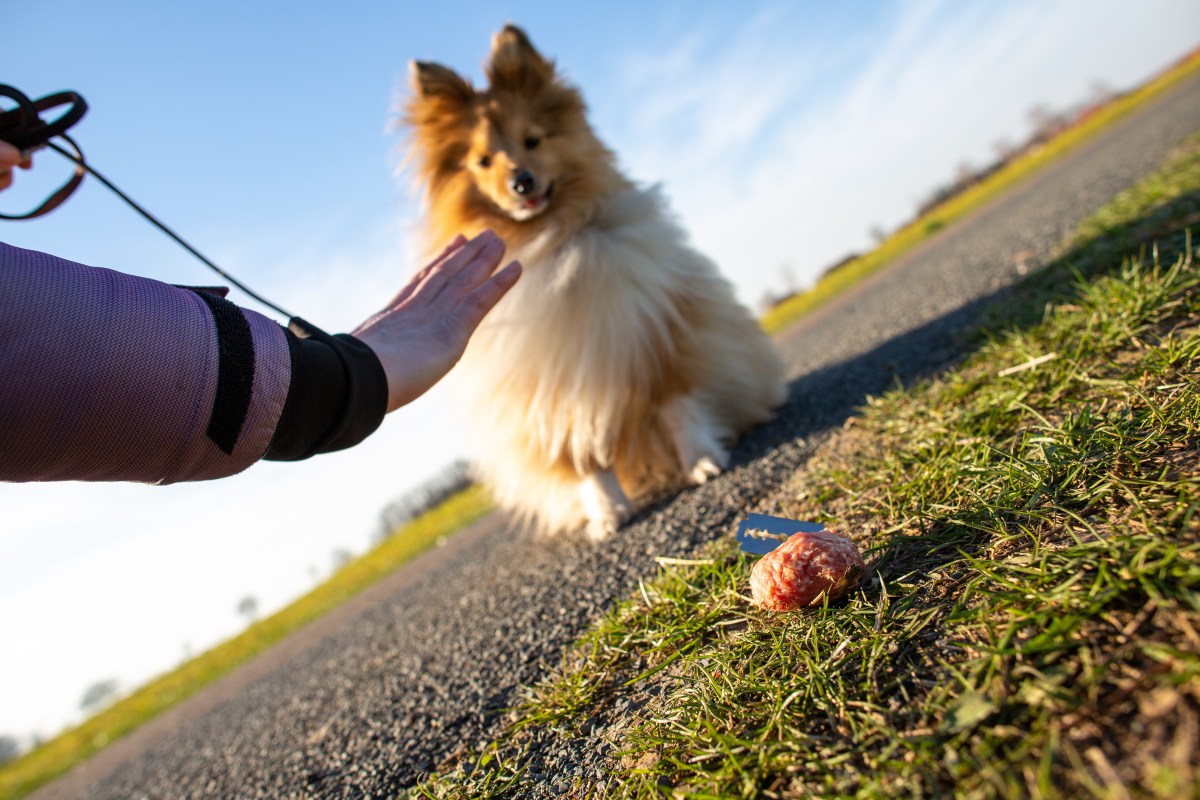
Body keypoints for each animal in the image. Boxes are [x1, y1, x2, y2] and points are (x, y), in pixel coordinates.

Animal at [403, 25, 787, 537]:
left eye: (533, 140)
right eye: (483, 161)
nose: (522, 183)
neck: (553, 237)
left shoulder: (657, 334)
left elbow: (678, 405)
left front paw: (702, 461)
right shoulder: (550, 387)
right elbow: (579, 456)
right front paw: (607, 513)